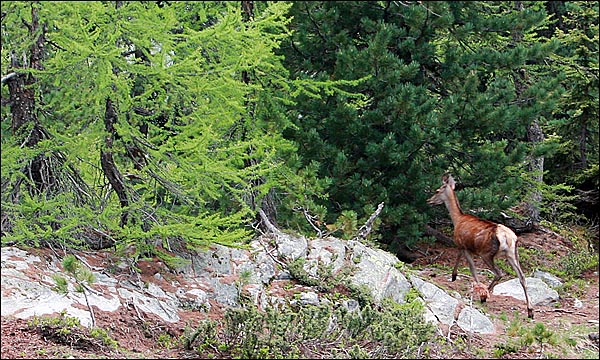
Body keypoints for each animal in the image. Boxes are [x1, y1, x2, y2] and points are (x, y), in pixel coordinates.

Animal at [426, 173, 536, 320]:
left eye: (437, 191)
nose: (429, 201)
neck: (457, 220)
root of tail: (508, 237)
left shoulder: (464, 245)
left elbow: (472, 268)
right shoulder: (463, 246)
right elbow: (459, 258)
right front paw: (454, 276)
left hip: (487, 253)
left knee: (498, 273)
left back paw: (484, 296)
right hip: (512, 253)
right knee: (522, 277)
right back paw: (530, 310)